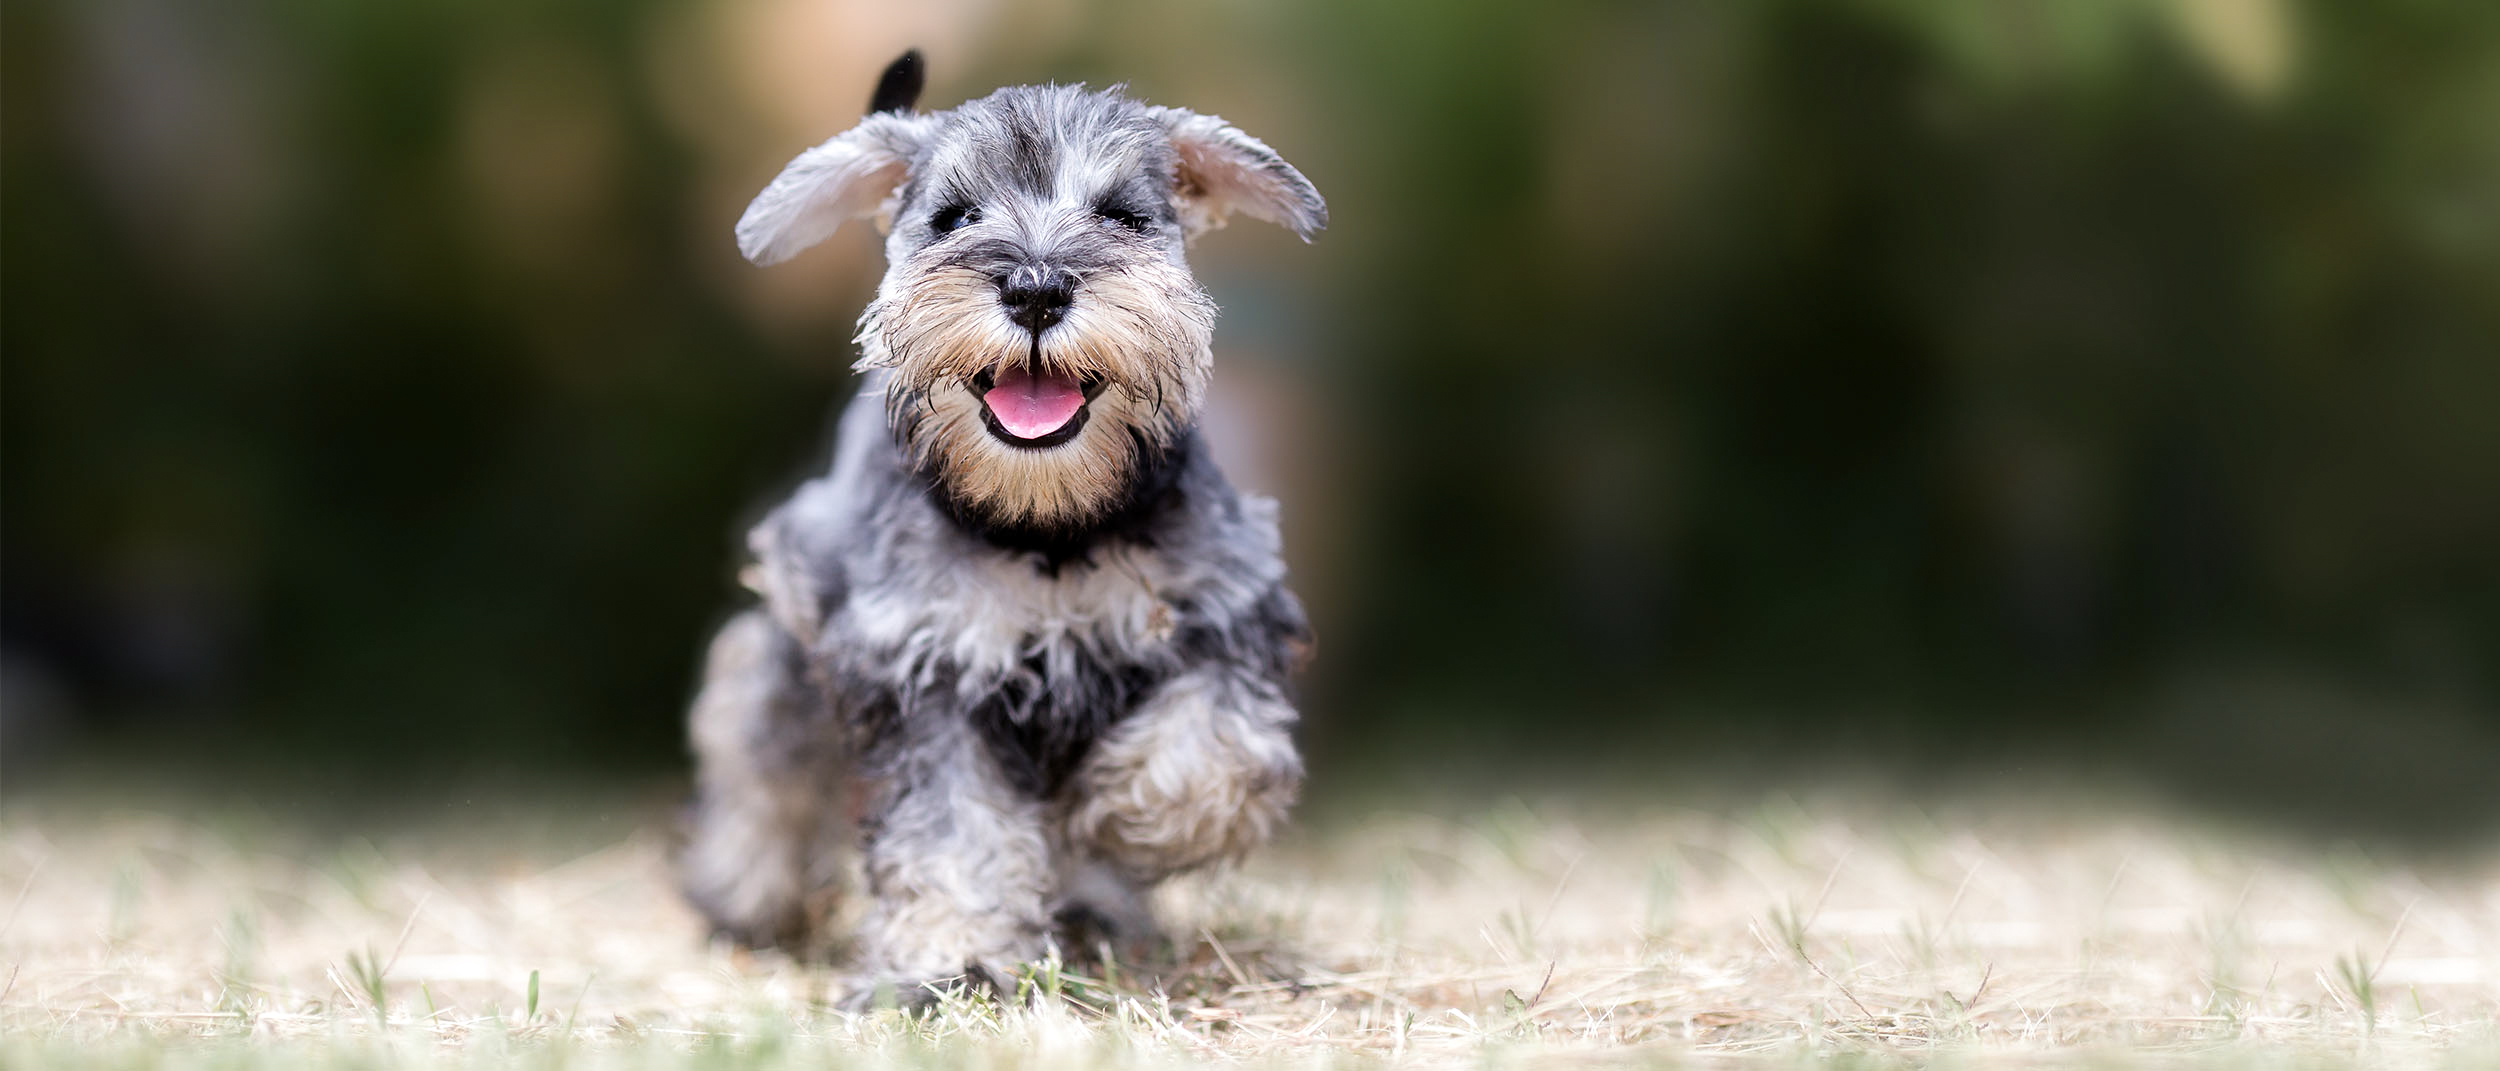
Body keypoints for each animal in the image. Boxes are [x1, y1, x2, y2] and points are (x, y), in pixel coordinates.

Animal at [665, 50, 1330, 1005]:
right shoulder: (923, 668)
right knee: (760, 752)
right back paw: (743, 893)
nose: (1036, 287)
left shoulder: (1226, 614)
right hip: (788, 650)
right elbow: (953, 833)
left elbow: (1213, 752)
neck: (1045, 526)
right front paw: (953, 958)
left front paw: (1114, 819)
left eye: (1121, 216)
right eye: (955, 217)